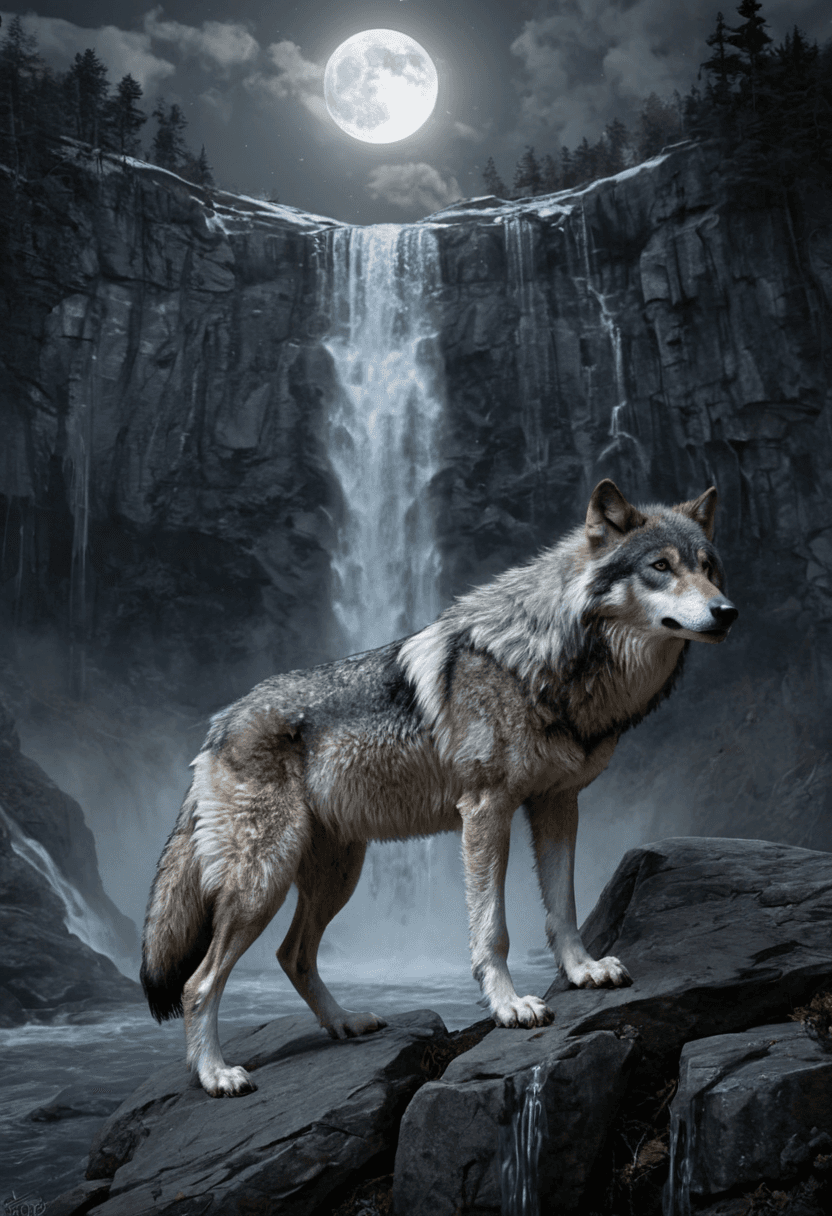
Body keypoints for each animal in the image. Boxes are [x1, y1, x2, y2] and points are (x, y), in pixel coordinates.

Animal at [141, 479, 737, 1097]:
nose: (727, 611)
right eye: (660, 567)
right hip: (263, 880)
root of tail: (216, 728)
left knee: (293, 956)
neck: (544, 657)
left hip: (335, 878)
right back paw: (215, 1073)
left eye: (708, 567)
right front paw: (509, 1006)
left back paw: (345, 1024)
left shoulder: (558, 804)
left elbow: (563, 906)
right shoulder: (486, 810)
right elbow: (492, 929)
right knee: (199, 982)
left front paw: (582, 971)